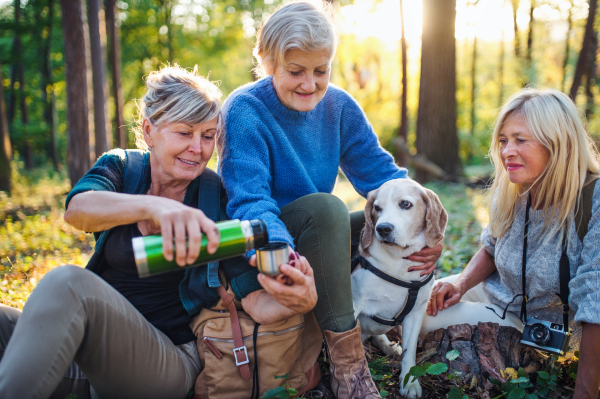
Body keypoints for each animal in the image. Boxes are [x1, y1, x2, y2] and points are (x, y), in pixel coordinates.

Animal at [352, 179, 446, 399]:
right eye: (377, 208)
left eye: (405, 204)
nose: (383, 228)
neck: (399, 262)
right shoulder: (352, 305)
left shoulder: (416, 313)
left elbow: (409, 353)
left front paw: (409, 383)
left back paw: (388, 346)